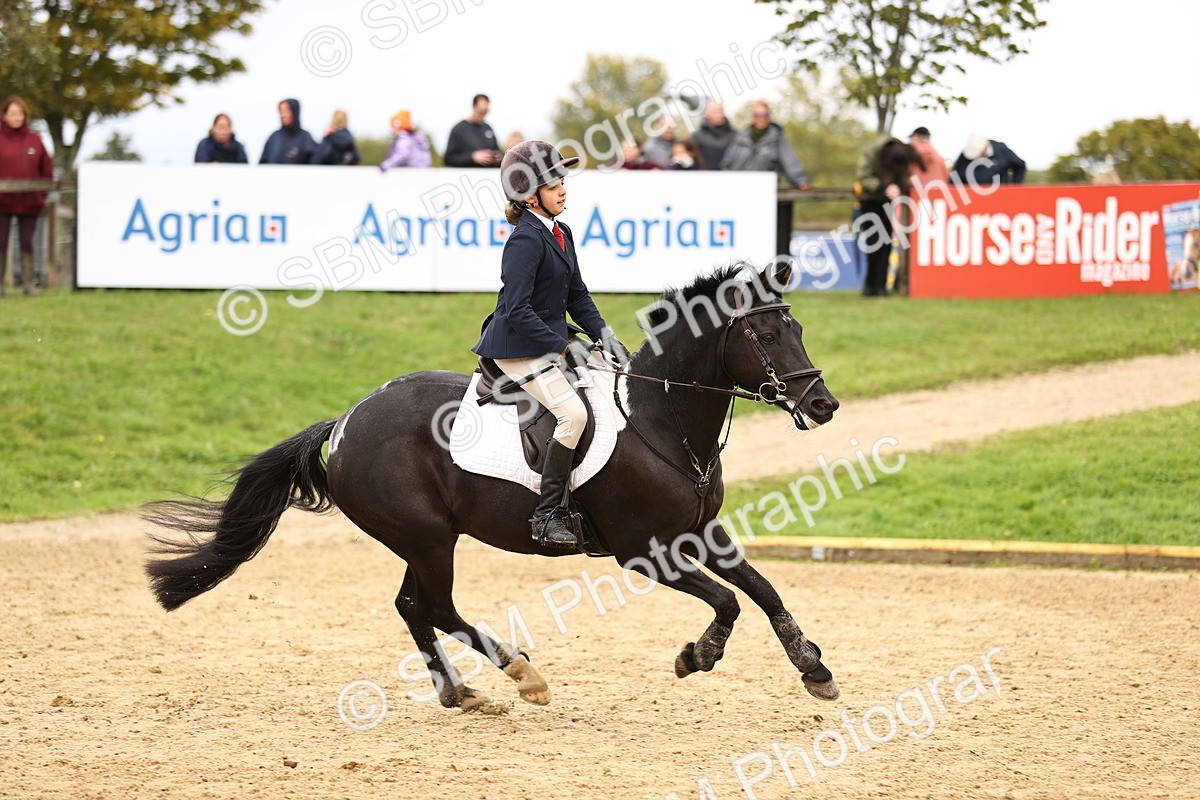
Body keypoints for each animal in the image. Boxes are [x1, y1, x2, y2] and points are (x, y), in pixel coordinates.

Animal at [143, 261, 842, 711]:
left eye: (799, 329)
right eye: (765, 335)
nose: (824, 404)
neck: (661, 419)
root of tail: (344, 422)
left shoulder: (700, 532)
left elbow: (763, 590)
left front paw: (815, 669)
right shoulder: (645, 552)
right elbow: (727, 602)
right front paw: (697, 656)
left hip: (425, 538)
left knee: (412, 606)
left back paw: (459, 693)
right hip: (427, 538)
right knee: (435, 607)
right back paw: (521, 674)